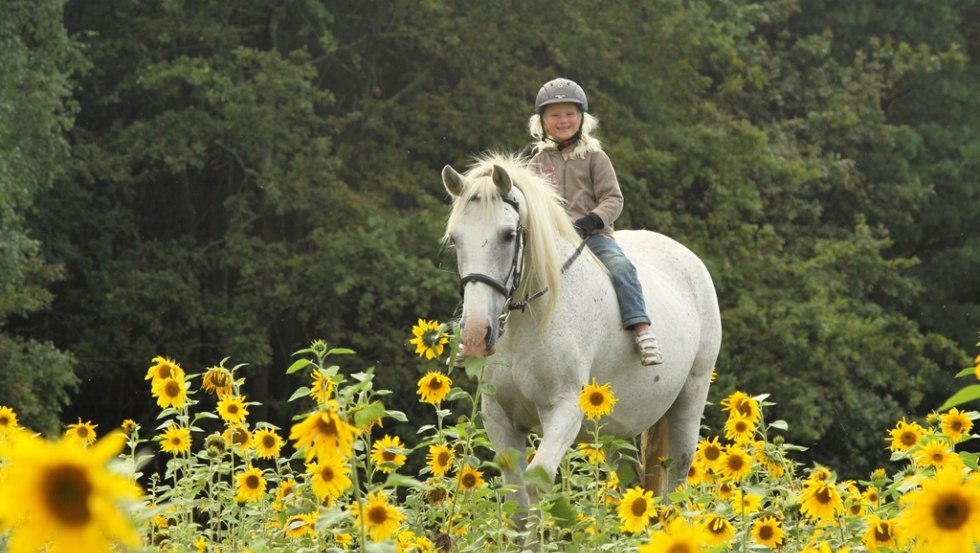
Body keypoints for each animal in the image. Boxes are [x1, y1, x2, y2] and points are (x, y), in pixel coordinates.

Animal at [442, 152, 720, 520]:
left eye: (507, 235)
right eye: (455, 239)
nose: (476, 333)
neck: (534, 317)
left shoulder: (564, 410)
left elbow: (538, 481)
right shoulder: (499, 417)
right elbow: (518, 500)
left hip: (690, 396)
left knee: (678, 475)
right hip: (618, 427)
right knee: (634, 483)